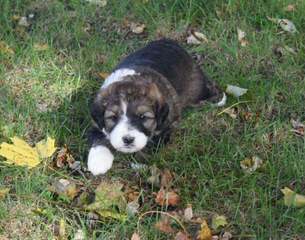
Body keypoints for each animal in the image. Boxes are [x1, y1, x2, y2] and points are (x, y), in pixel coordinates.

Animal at [86, 38, 224, 175]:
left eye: (143, 117)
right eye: (113, 118)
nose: (128, 139)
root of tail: (171, 42)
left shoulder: (166, 126)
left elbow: (152, 144)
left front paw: (139, 163)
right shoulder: (97, 123)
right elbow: (99, 137)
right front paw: (99, 162)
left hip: (197, 88)